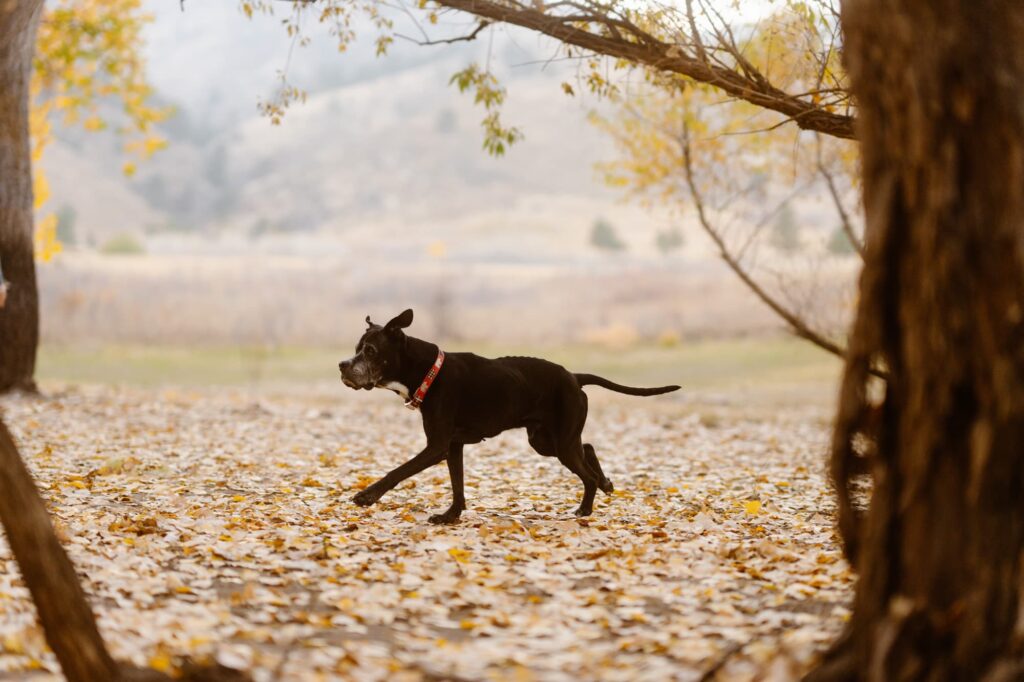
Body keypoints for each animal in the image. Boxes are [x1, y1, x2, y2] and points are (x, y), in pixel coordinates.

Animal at [339, 311, 684, 522]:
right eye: (356, 348)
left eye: (370, 351)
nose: (343, 365)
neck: (428, 372)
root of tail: (574, 377)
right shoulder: (452, 446)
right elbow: (457, 484)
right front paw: (451, 516)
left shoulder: (436, 447)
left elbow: (397, 471)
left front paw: (367, 495)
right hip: (545, 440)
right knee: (588, 448)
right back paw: (606, 482)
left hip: (559, 443)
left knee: (585, 473)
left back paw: (586, 508)